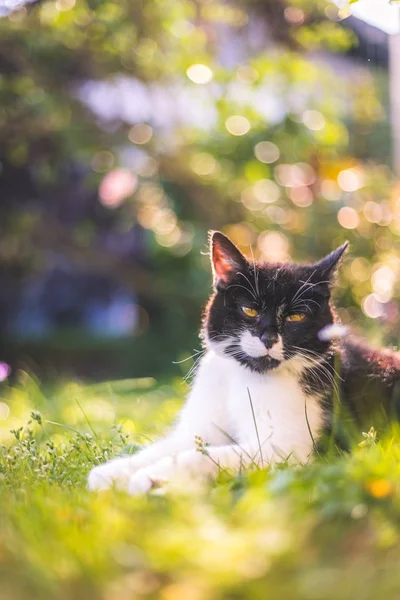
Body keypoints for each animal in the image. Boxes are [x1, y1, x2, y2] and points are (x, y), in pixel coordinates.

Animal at [89, 232, 400, 494]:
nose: (268, 338)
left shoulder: (285, 450)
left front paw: (153, 477)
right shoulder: (199, 428)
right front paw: (111, 473)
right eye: (249, 310)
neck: (244, 379)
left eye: (296, 317)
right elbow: (168, 447)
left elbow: (201, 456)